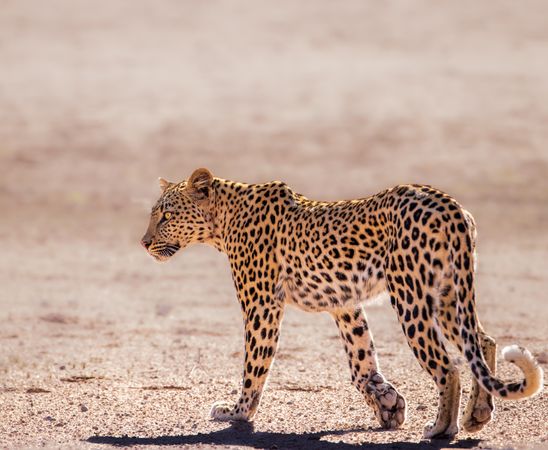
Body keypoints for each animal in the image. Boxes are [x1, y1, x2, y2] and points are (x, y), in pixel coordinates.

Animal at [139, 167, 540, 438]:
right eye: (154, 214)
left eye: (167, 215)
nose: (144, 243)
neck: (222, 221)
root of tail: (449, 204)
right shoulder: (344, 304)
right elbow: (361, 360)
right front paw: (387, 404)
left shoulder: (262, 305)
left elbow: (254, 364)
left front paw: (237, 412)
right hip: (448, 295)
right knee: (483, 342)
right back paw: (477, 415)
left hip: (410, 296)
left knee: (447, 366)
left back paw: (441, 428)